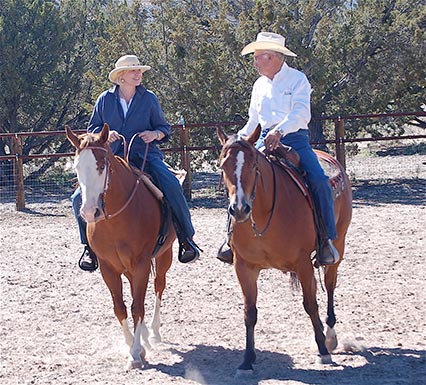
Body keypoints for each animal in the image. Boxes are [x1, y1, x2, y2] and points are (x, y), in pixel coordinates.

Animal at [65, 124, 175, 368]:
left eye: (101, 165)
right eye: (77, 166)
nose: (90, 212)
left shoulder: (142, 263)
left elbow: (137, 307)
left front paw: (135, 354)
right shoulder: (108, 267)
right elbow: (120, 308)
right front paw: (135, 347)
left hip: (164, 256)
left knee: (158, 286)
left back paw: (153, 332)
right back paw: (145, 336)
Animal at [216, 124, 352, 374]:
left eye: (253, 165)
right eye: (223, 165)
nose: (239, 209)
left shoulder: (303, 263)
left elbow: (310, 305)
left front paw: (323, 351)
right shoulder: (244, 266)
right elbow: (250, 312)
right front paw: (247, 360)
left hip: (338, 245)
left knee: (329, 286)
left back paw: (329, 336)